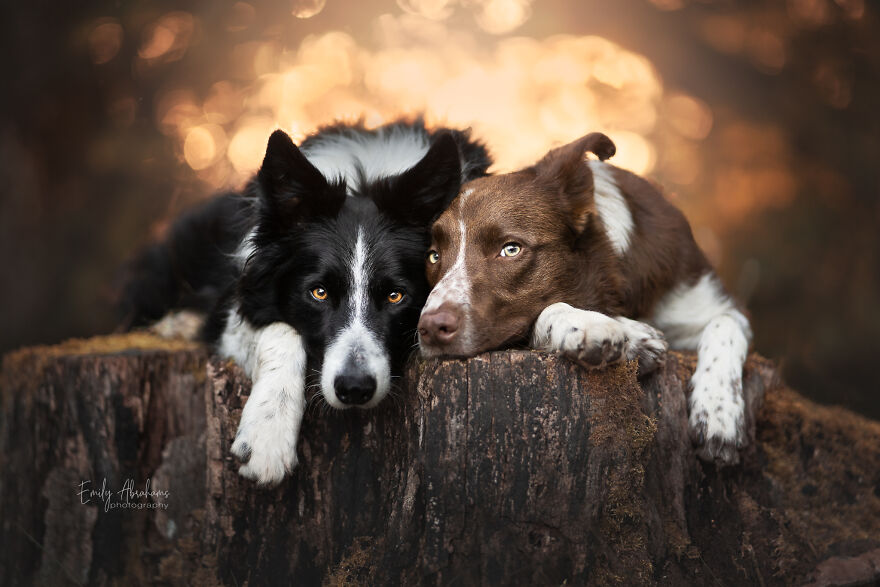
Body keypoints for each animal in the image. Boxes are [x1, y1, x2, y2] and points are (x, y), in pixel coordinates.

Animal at [123, 118, 492, 482]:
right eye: (319, 292)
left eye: (395, 296)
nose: (354, 388)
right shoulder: (237, 307)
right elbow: (281, 332)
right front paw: (267, 435)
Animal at [418, 132, 748, 464]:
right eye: (434, 256)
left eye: (511, 249)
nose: (430, 328)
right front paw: (613, 332)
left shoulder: (701, 297)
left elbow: (725, 326)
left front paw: (718, 415)